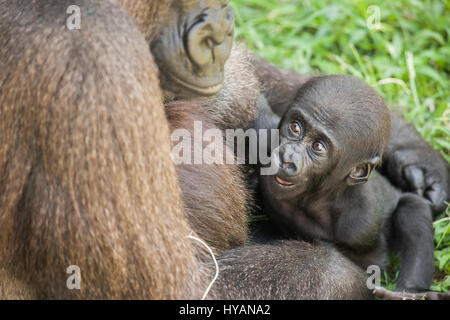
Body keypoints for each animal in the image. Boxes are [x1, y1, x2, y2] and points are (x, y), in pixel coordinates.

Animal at [258, 74, 434, 292]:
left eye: (318, 146)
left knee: (413, 208)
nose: (286, 159)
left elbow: (370, 265)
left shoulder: (359, 225)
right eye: (295, 127)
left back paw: (410, 289)